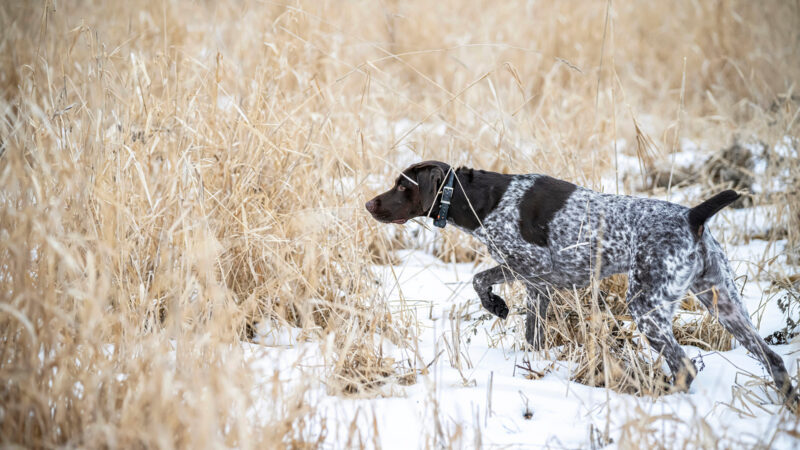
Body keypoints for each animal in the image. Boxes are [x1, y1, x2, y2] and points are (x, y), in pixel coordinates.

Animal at [366, 161, 796, 400]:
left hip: (647, 306)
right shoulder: (531, 278)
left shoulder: (535, 267)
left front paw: (497, 307)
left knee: (685, 367)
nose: (369, 203)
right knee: (773, 359)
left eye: (403, 186)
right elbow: (514, 314)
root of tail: (693, 216)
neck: (481, 198)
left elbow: (485, 284)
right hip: (725, 304)